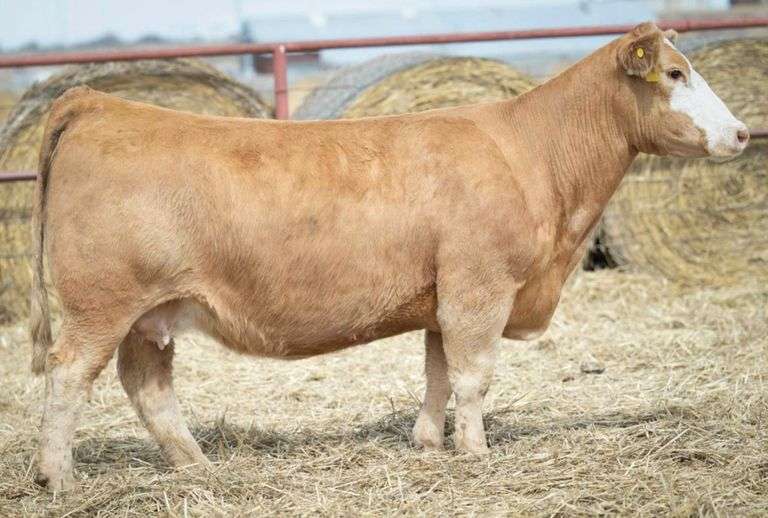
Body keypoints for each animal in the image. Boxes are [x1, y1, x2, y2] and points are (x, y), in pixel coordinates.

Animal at [30, 22, 748, 490]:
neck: (533, 152)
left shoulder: (440, 300)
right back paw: (57, 477)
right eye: (675, 74)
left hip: (150, 314)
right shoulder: (480, 288)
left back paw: (198, 466)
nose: (743, 133)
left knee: (147, 386)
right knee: (68, 377)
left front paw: (429, 446)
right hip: (102, 305)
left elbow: (436, 376)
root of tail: (98, 101)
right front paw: (476, 453)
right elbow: (473, 377)